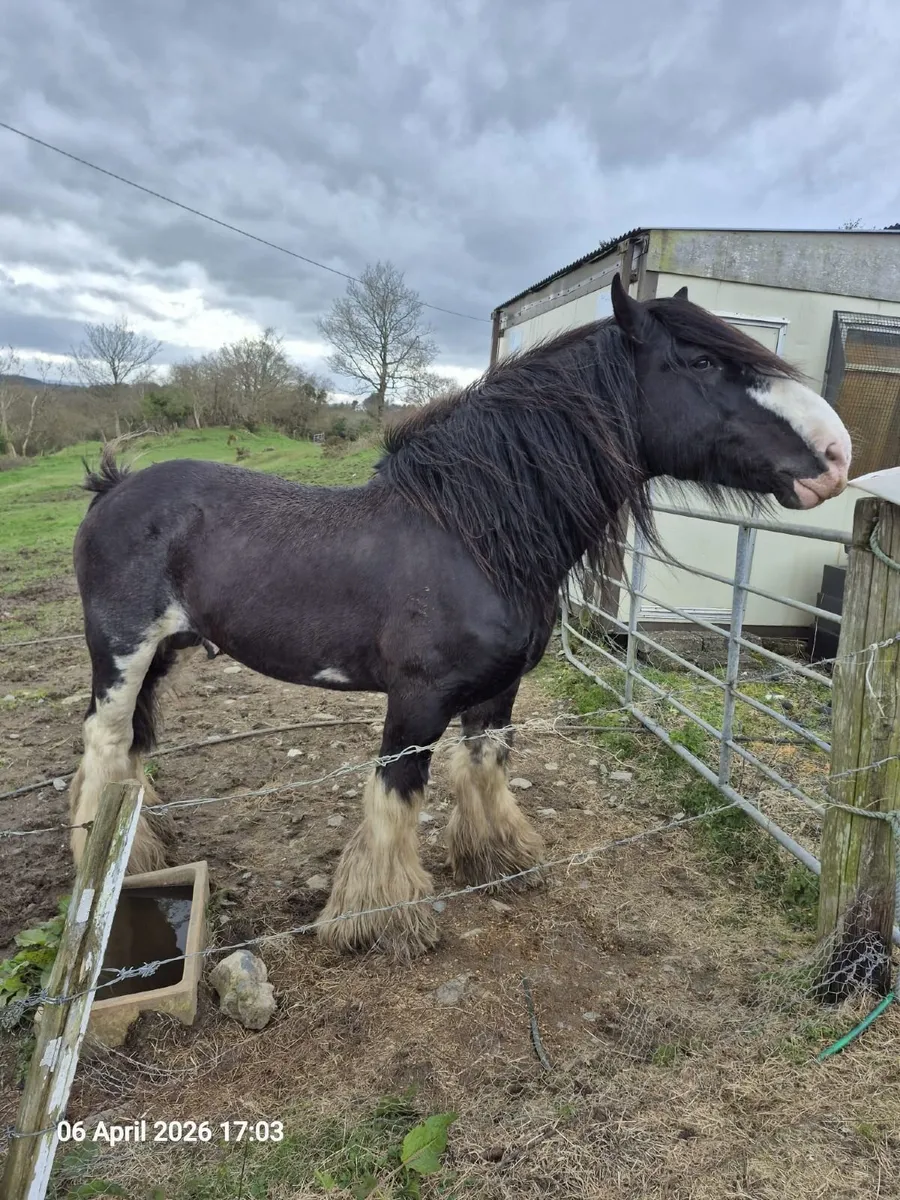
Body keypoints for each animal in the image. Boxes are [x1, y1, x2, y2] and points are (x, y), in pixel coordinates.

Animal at [67, 274, 851, 961]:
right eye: (703, 361)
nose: (836, 454)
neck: (474, 537)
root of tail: (115, 488)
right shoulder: (416, 700)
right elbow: (396, 796)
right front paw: (382, 921)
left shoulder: (497, 692)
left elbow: (485, 768)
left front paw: (499, 858)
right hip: (121, 652)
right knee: (104, 745)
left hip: (165, 651)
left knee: (133, 749)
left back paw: (138, 849)